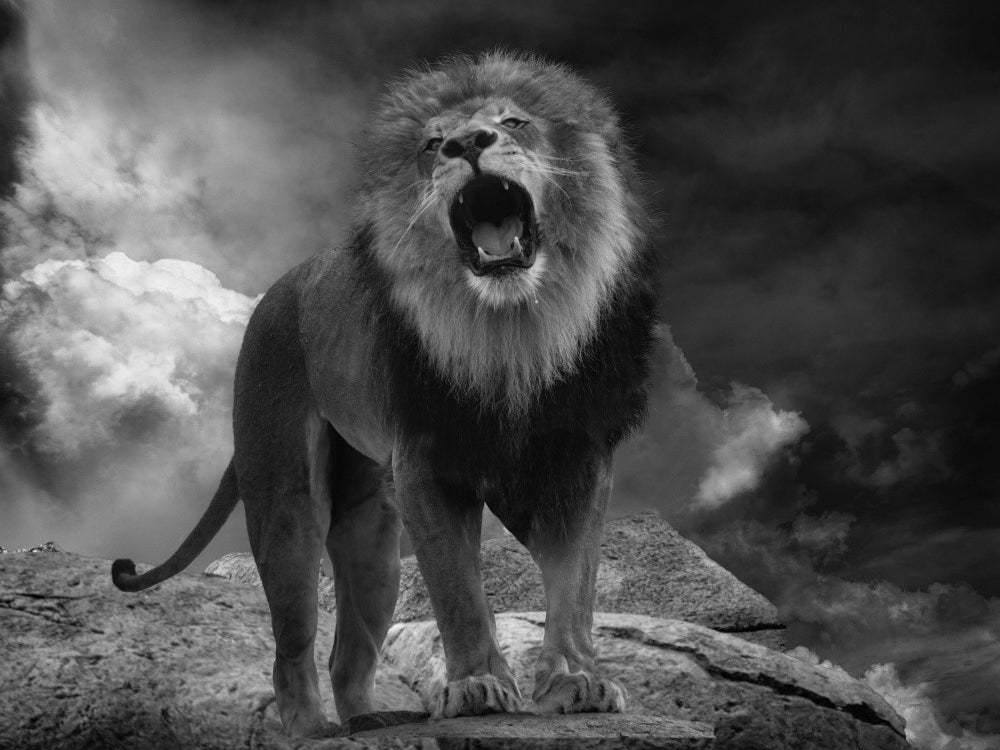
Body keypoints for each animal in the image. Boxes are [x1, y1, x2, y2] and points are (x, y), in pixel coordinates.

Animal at [112, 51, 656, 738]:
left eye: (514, 122)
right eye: (431, 143)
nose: (465, 144)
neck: (511, 332)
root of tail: (280, 287)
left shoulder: (577, 458)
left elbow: (575, 584)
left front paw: (576, 680)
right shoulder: (427, 462)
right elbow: (458, 591)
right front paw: (477, 685)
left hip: (373, 536)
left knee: (349, 651)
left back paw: (373, 720)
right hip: (286, 496)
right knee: (293, 640)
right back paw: (311, 729)